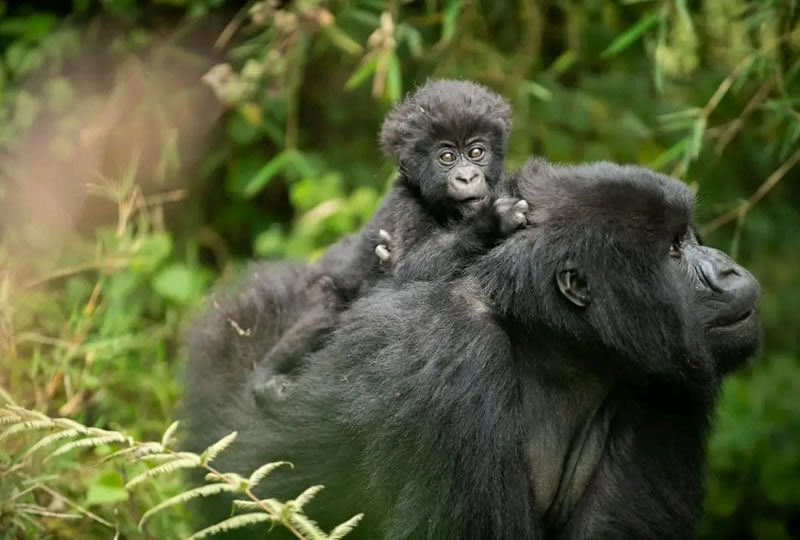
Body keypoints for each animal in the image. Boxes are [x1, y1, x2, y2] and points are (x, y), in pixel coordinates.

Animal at [181, 158, 764, 536]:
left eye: (688, 237)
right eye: (673, 251)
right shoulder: (451, 352)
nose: (730, 270)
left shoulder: (664, 383)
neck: (553, 341)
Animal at [255, 80, 524, 400]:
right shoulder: (406, 202)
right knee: (326, 311)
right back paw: (264, 380)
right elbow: (409, 273)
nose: (467, 178)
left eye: (476, 152)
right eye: (447, 157)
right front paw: (490, 222)